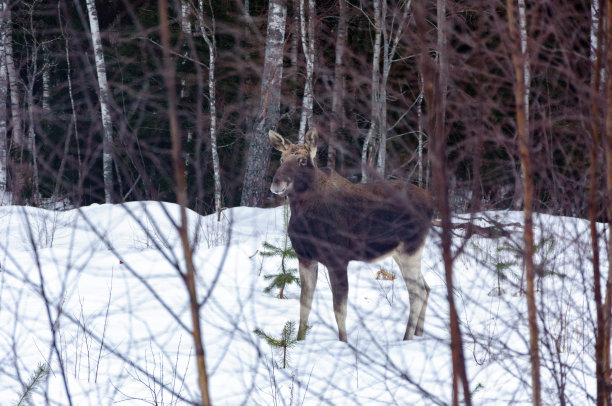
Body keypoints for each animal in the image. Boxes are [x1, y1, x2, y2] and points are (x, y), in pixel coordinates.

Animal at [268, 127, 436, 342]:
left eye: (302, 160)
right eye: (281, 159)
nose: (276, 183)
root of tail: (432, 203)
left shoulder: (337, 259)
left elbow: (339, 308)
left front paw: (344, 342)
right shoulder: (305, 257)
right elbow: (304, 304)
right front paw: (299, 339)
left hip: (410, 249)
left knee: (418, 291)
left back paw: (407, 337)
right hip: (401, 252)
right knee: (427, 287)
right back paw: (418, 333)